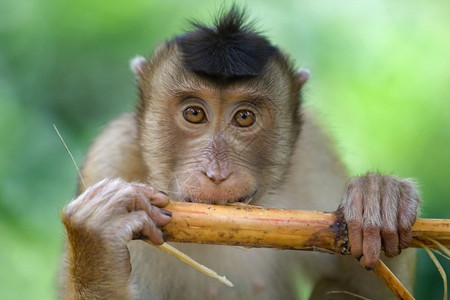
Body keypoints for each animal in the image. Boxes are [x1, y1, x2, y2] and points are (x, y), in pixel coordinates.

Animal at [58, 7, 420, 300]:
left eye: (244, 117)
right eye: (194, 114)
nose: (217, 174)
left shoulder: (314, 155)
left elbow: (361, 285)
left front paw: (379, 201)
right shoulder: (111, 157)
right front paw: (97, 238)